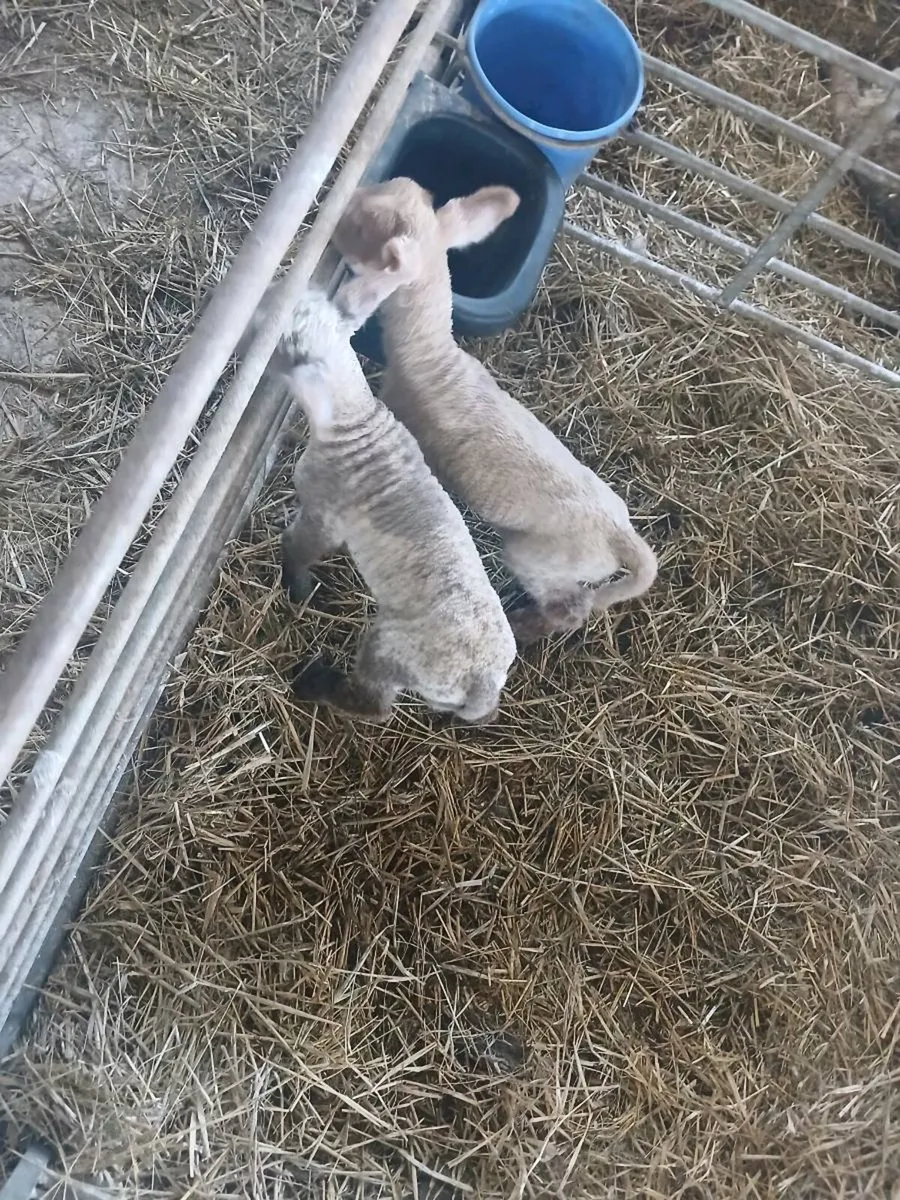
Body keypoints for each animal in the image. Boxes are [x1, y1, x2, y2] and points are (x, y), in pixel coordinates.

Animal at [255, 282, 516, 724]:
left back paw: (313, 682)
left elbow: (298, 547)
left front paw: (297, 589)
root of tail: (479, 681)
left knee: (373, 702)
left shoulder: (323, 510)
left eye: (284, 340)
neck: (352, 419)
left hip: (394, 648)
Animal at [331, 177, 658, 645]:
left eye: (362, 227)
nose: (335, 209)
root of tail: (621, 537)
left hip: (540, 558)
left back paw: (524, 627)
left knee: (569, 608)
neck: (428, 352)